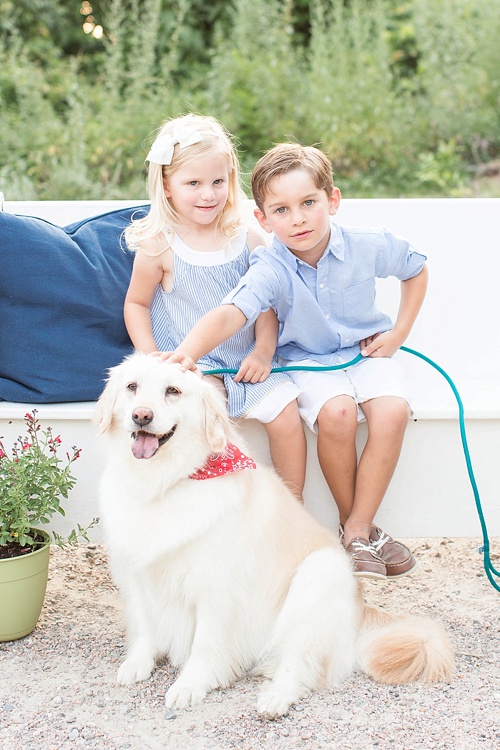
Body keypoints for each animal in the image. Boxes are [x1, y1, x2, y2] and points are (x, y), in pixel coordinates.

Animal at [95, 356, 456, 720]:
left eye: (173, 390)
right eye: (132, 386)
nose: (141, 415)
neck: (164, 483)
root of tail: (359, 615)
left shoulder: (216, 586)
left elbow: (205, 643)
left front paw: (189, 684)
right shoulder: (134, 571)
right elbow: (144, 624)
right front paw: (138, 663)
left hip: (319, 573)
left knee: (301, 664)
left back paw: (276, 697)